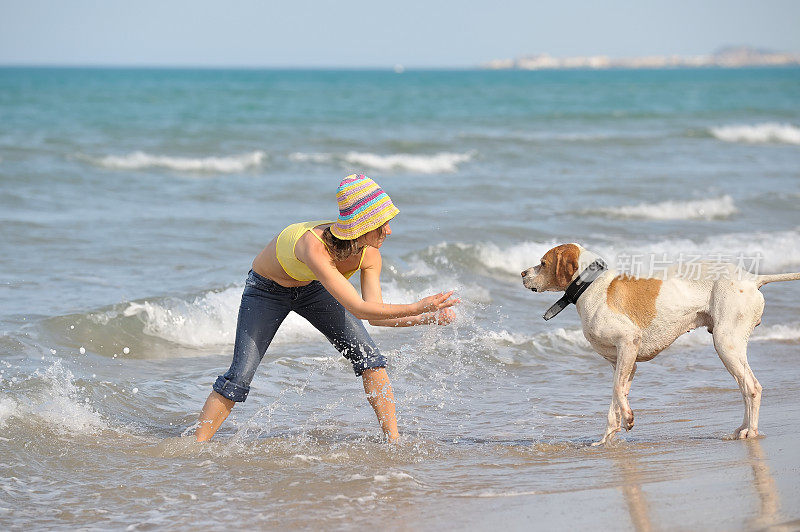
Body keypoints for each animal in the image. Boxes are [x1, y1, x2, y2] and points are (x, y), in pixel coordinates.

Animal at [520, 245, 796, 444]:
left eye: (543, 263)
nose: (522, 274)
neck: (590, 286)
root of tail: (751, 278)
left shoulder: (628, 342)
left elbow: (617, 392)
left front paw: (628, 420)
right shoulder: (622, 363)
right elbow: (615, 398)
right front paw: (607, 438)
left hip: (725, 343)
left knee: (752, 387)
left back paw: (751, 432)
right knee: (745, 388)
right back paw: (742, 429)